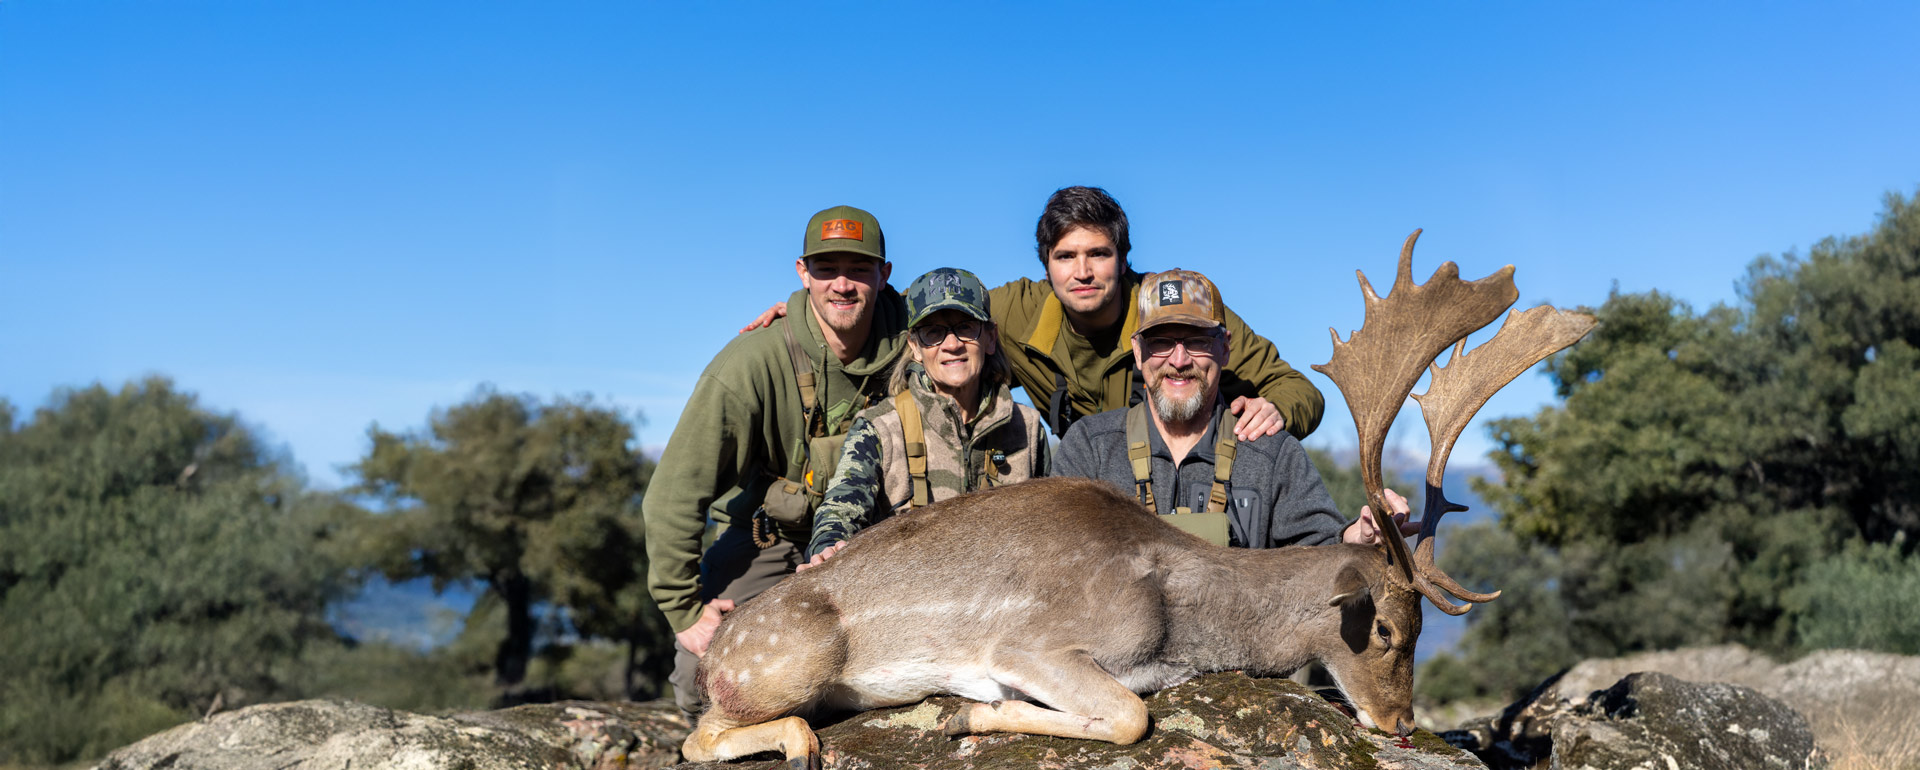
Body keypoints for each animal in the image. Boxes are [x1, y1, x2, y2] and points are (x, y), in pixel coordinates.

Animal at [679, 230, 1597, 769]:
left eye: (1424, 632)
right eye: (1386, 630)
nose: (1402, 722)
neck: (1181, 620)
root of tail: (722, 646)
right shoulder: (1031, 642)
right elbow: (1128, 717)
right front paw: (966, 716)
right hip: (788, 659)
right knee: (708, 734)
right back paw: (800, 739)